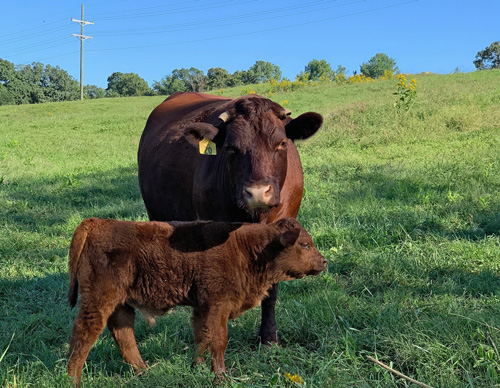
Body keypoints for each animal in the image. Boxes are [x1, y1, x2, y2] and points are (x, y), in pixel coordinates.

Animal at [66, 218, 326, 384]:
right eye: (305, 244)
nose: (324, 261)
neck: (246, 249)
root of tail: (96, 223)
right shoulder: (217, 304)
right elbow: (218, 340)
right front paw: (220, 376)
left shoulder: (202, 308)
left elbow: (202, 337)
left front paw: (197, 368)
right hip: (98, 300)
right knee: (84, 335)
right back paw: (72, 380)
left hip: (120, 305)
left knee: (123, 336)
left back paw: (144, 372)